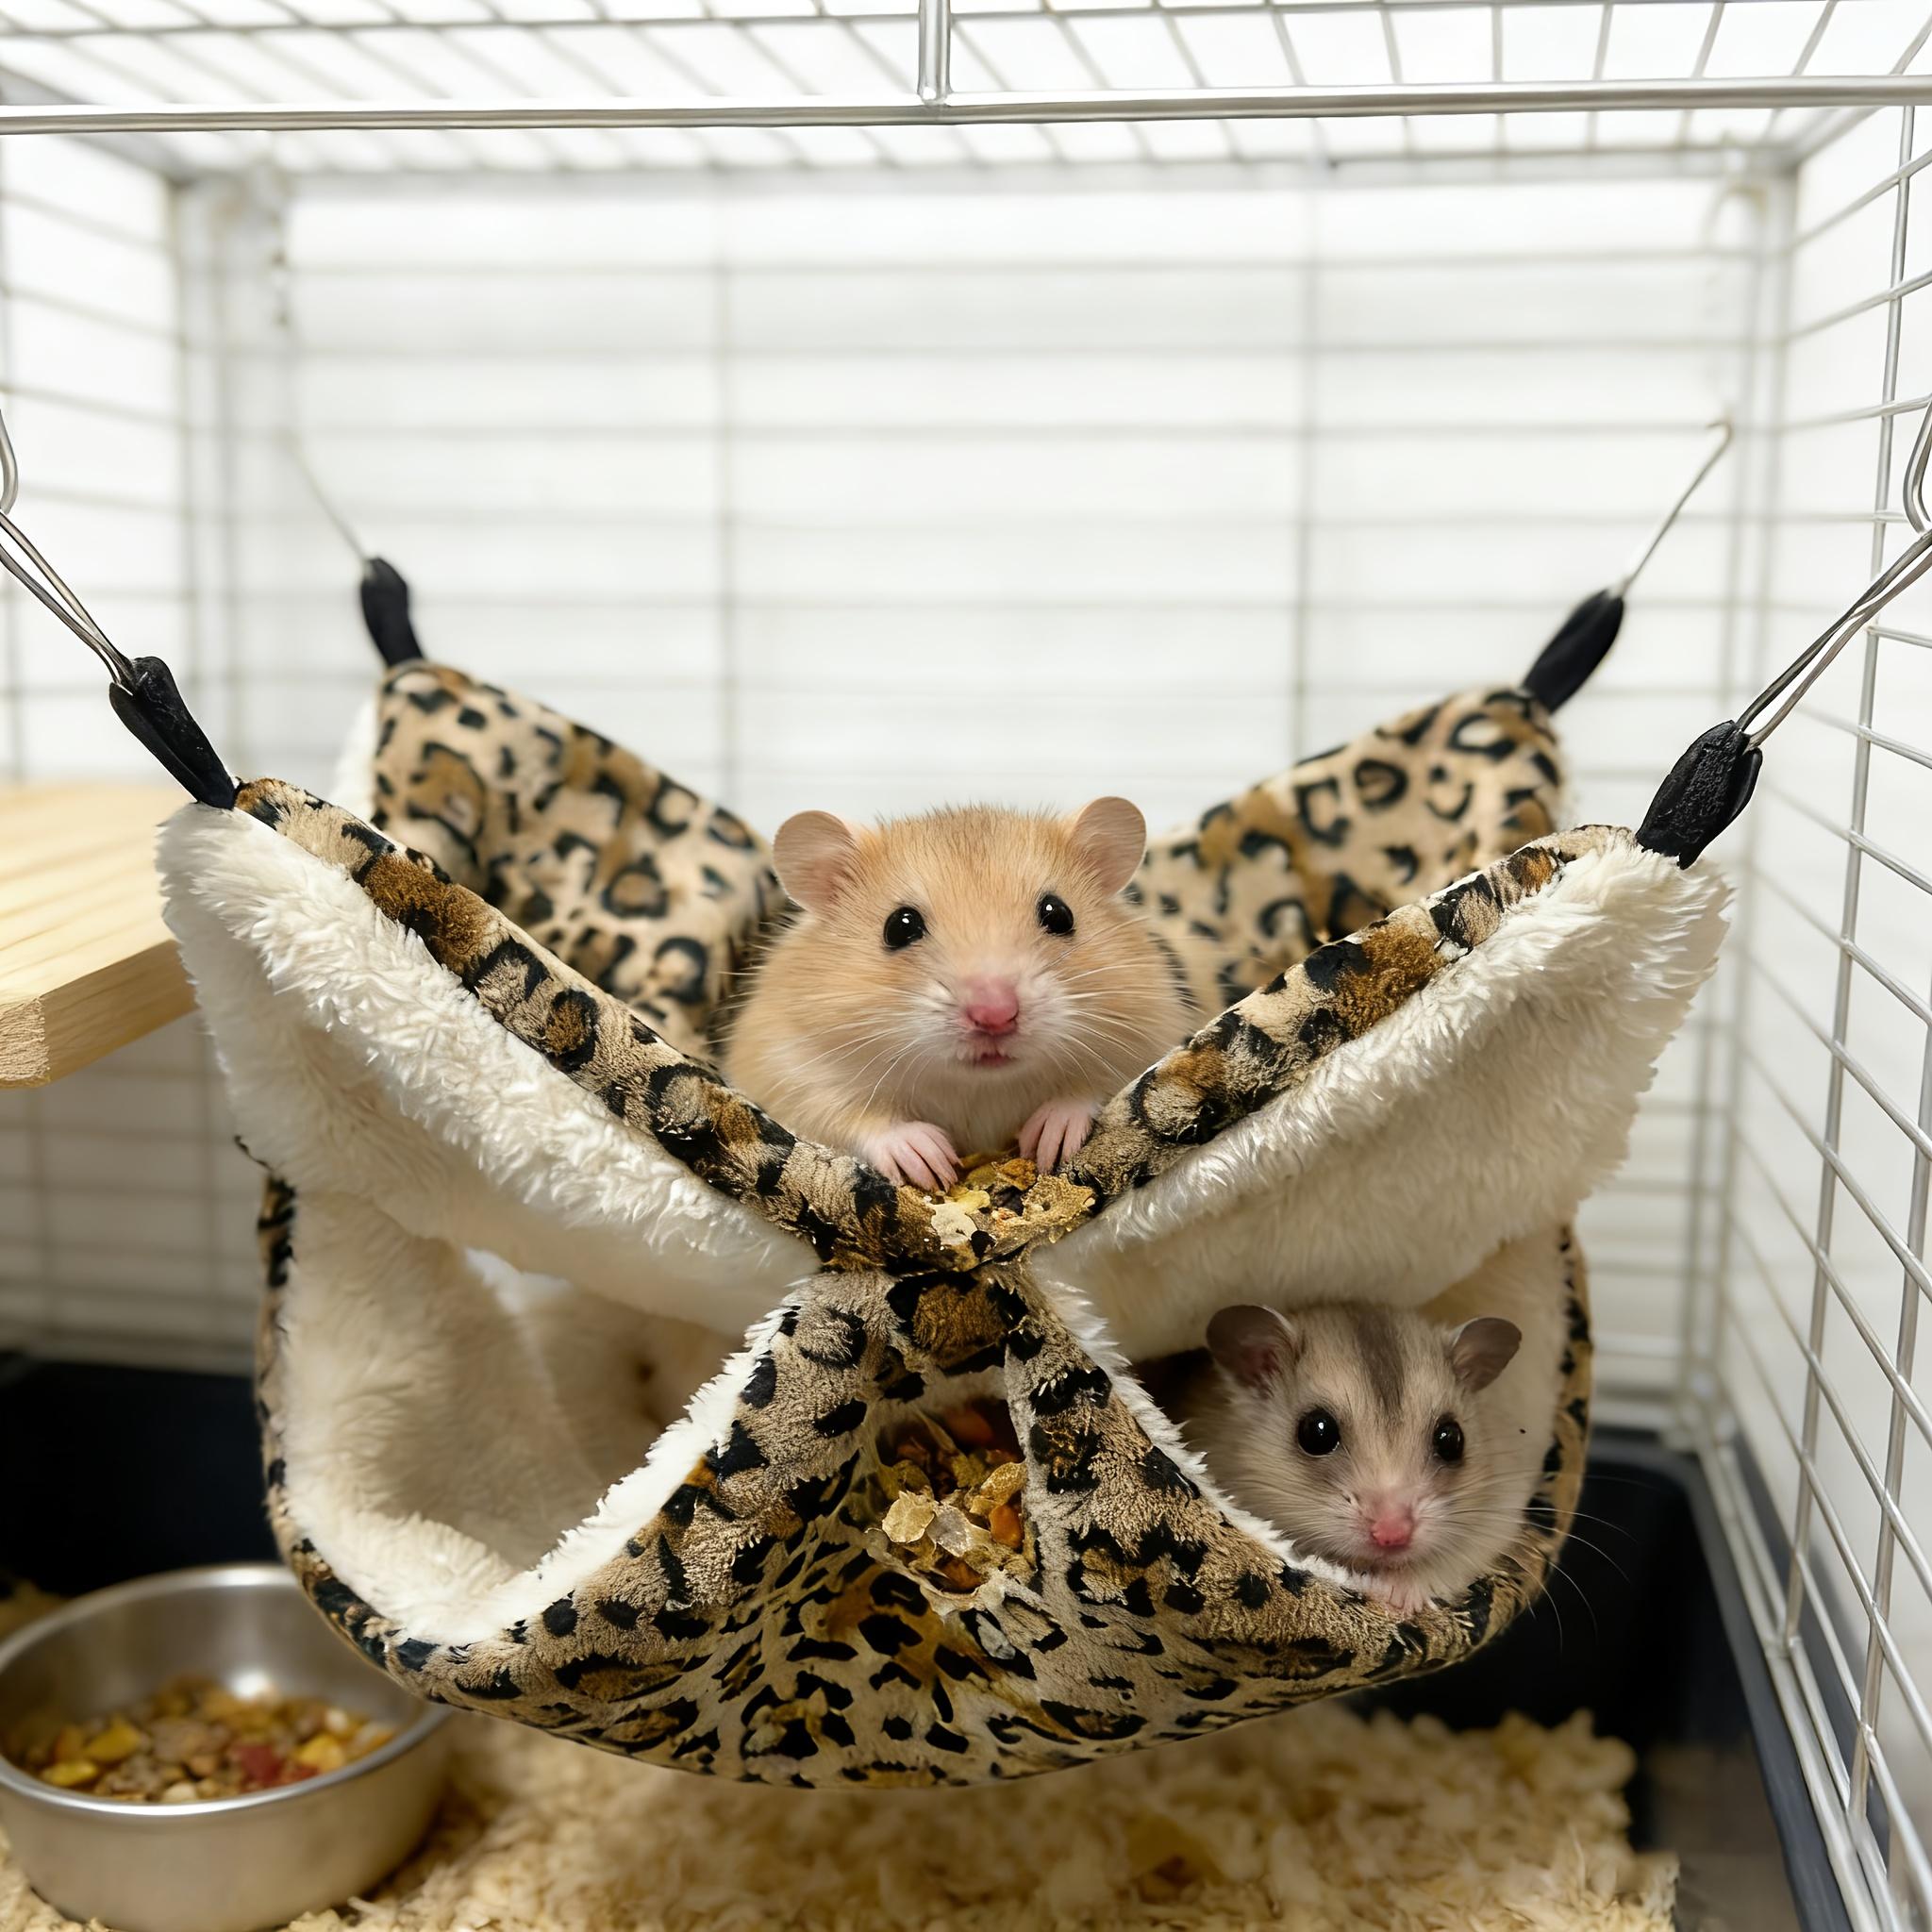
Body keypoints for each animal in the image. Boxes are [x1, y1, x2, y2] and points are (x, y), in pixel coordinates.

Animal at [724, 799, 1194, 1190]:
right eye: (899, 926)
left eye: (1059, 914)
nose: (995, 1016)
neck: (978, 1085)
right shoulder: (791, 1068)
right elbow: (854, 1117)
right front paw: (932, 1163)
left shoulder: (1144, 1034)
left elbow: (1095, 1088)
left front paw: (1048, 1141)